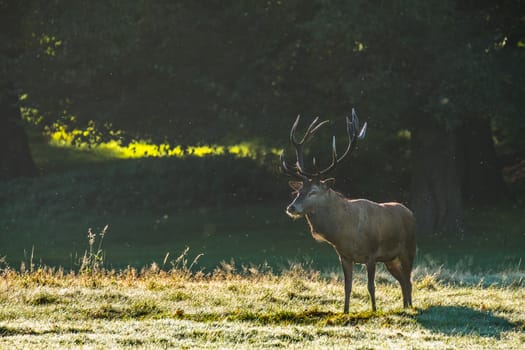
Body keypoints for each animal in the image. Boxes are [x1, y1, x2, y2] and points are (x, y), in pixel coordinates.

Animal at [280, 109, 416, 312]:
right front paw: (345, 312)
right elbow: (347, 286)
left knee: (408, 279)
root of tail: (410, 212)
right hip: (389, 258)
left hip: (409, 247)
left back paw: (411, 306)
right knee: (401, 279)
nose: (291, 207)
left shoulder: (371, 254)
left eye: (313, 191)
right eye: (298, 191)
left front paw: (374, 310)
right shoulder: (343, 256)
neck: (345, 233)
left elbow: (371, 286)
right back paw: (405, 306)